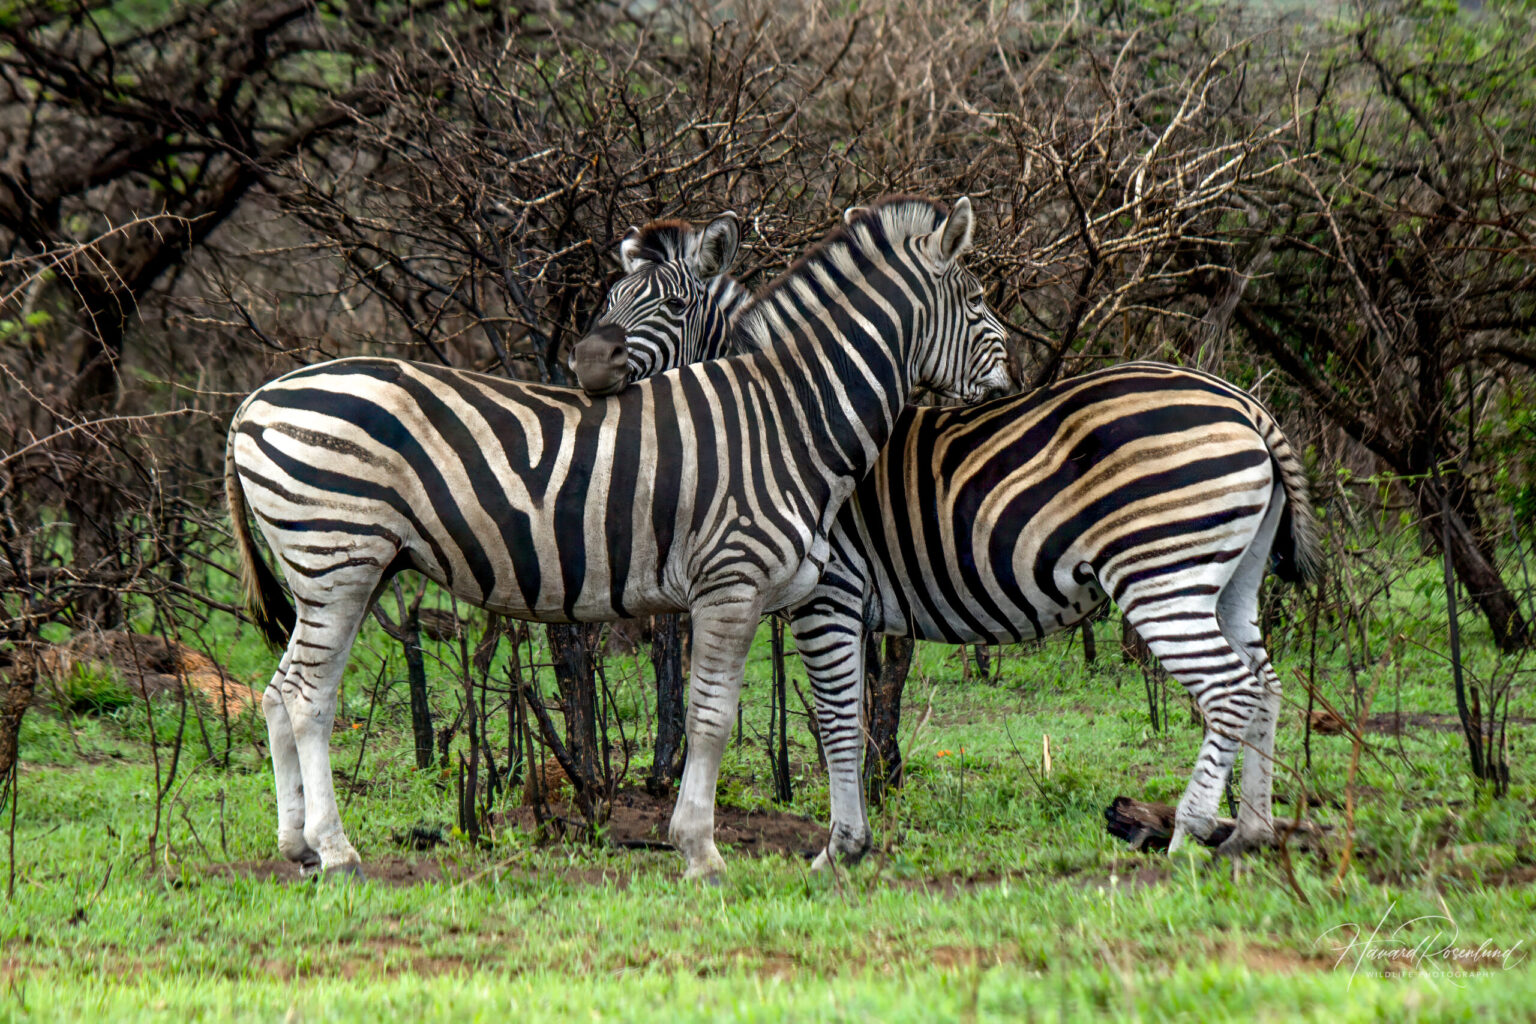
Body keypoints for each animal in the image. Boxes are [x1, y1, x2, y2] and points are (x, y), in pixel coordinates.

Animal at [224, 195, 1013, 879]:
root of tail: (254, 399)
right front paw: (700, 852)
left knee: (278, 690)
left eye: (668, 305)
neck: (788, 415)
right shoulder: (732, 582)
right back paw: (338, 852)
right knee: (308, 697)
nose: (1011, 377)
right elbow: (712, 719)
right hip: (338, 556)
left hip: (340, 565)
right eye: (977, 300)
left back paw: (297, 846)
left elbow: (816, 712)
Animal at [574, 218, 1322, 862]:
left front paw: (839, 848)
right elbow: (857, 716)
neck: (782, 420)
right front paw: (854, 838)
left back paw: (1186, 836)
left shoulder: (831, 594)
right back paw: (1250, 832)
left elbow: (839, 717)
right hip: (1229, 580)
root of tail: (1244, 403)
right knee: (1267, 684)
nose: (586, 361)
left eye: (673, 304)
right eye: (609, 297)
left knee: (1229, 689)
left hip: (1162, 574)